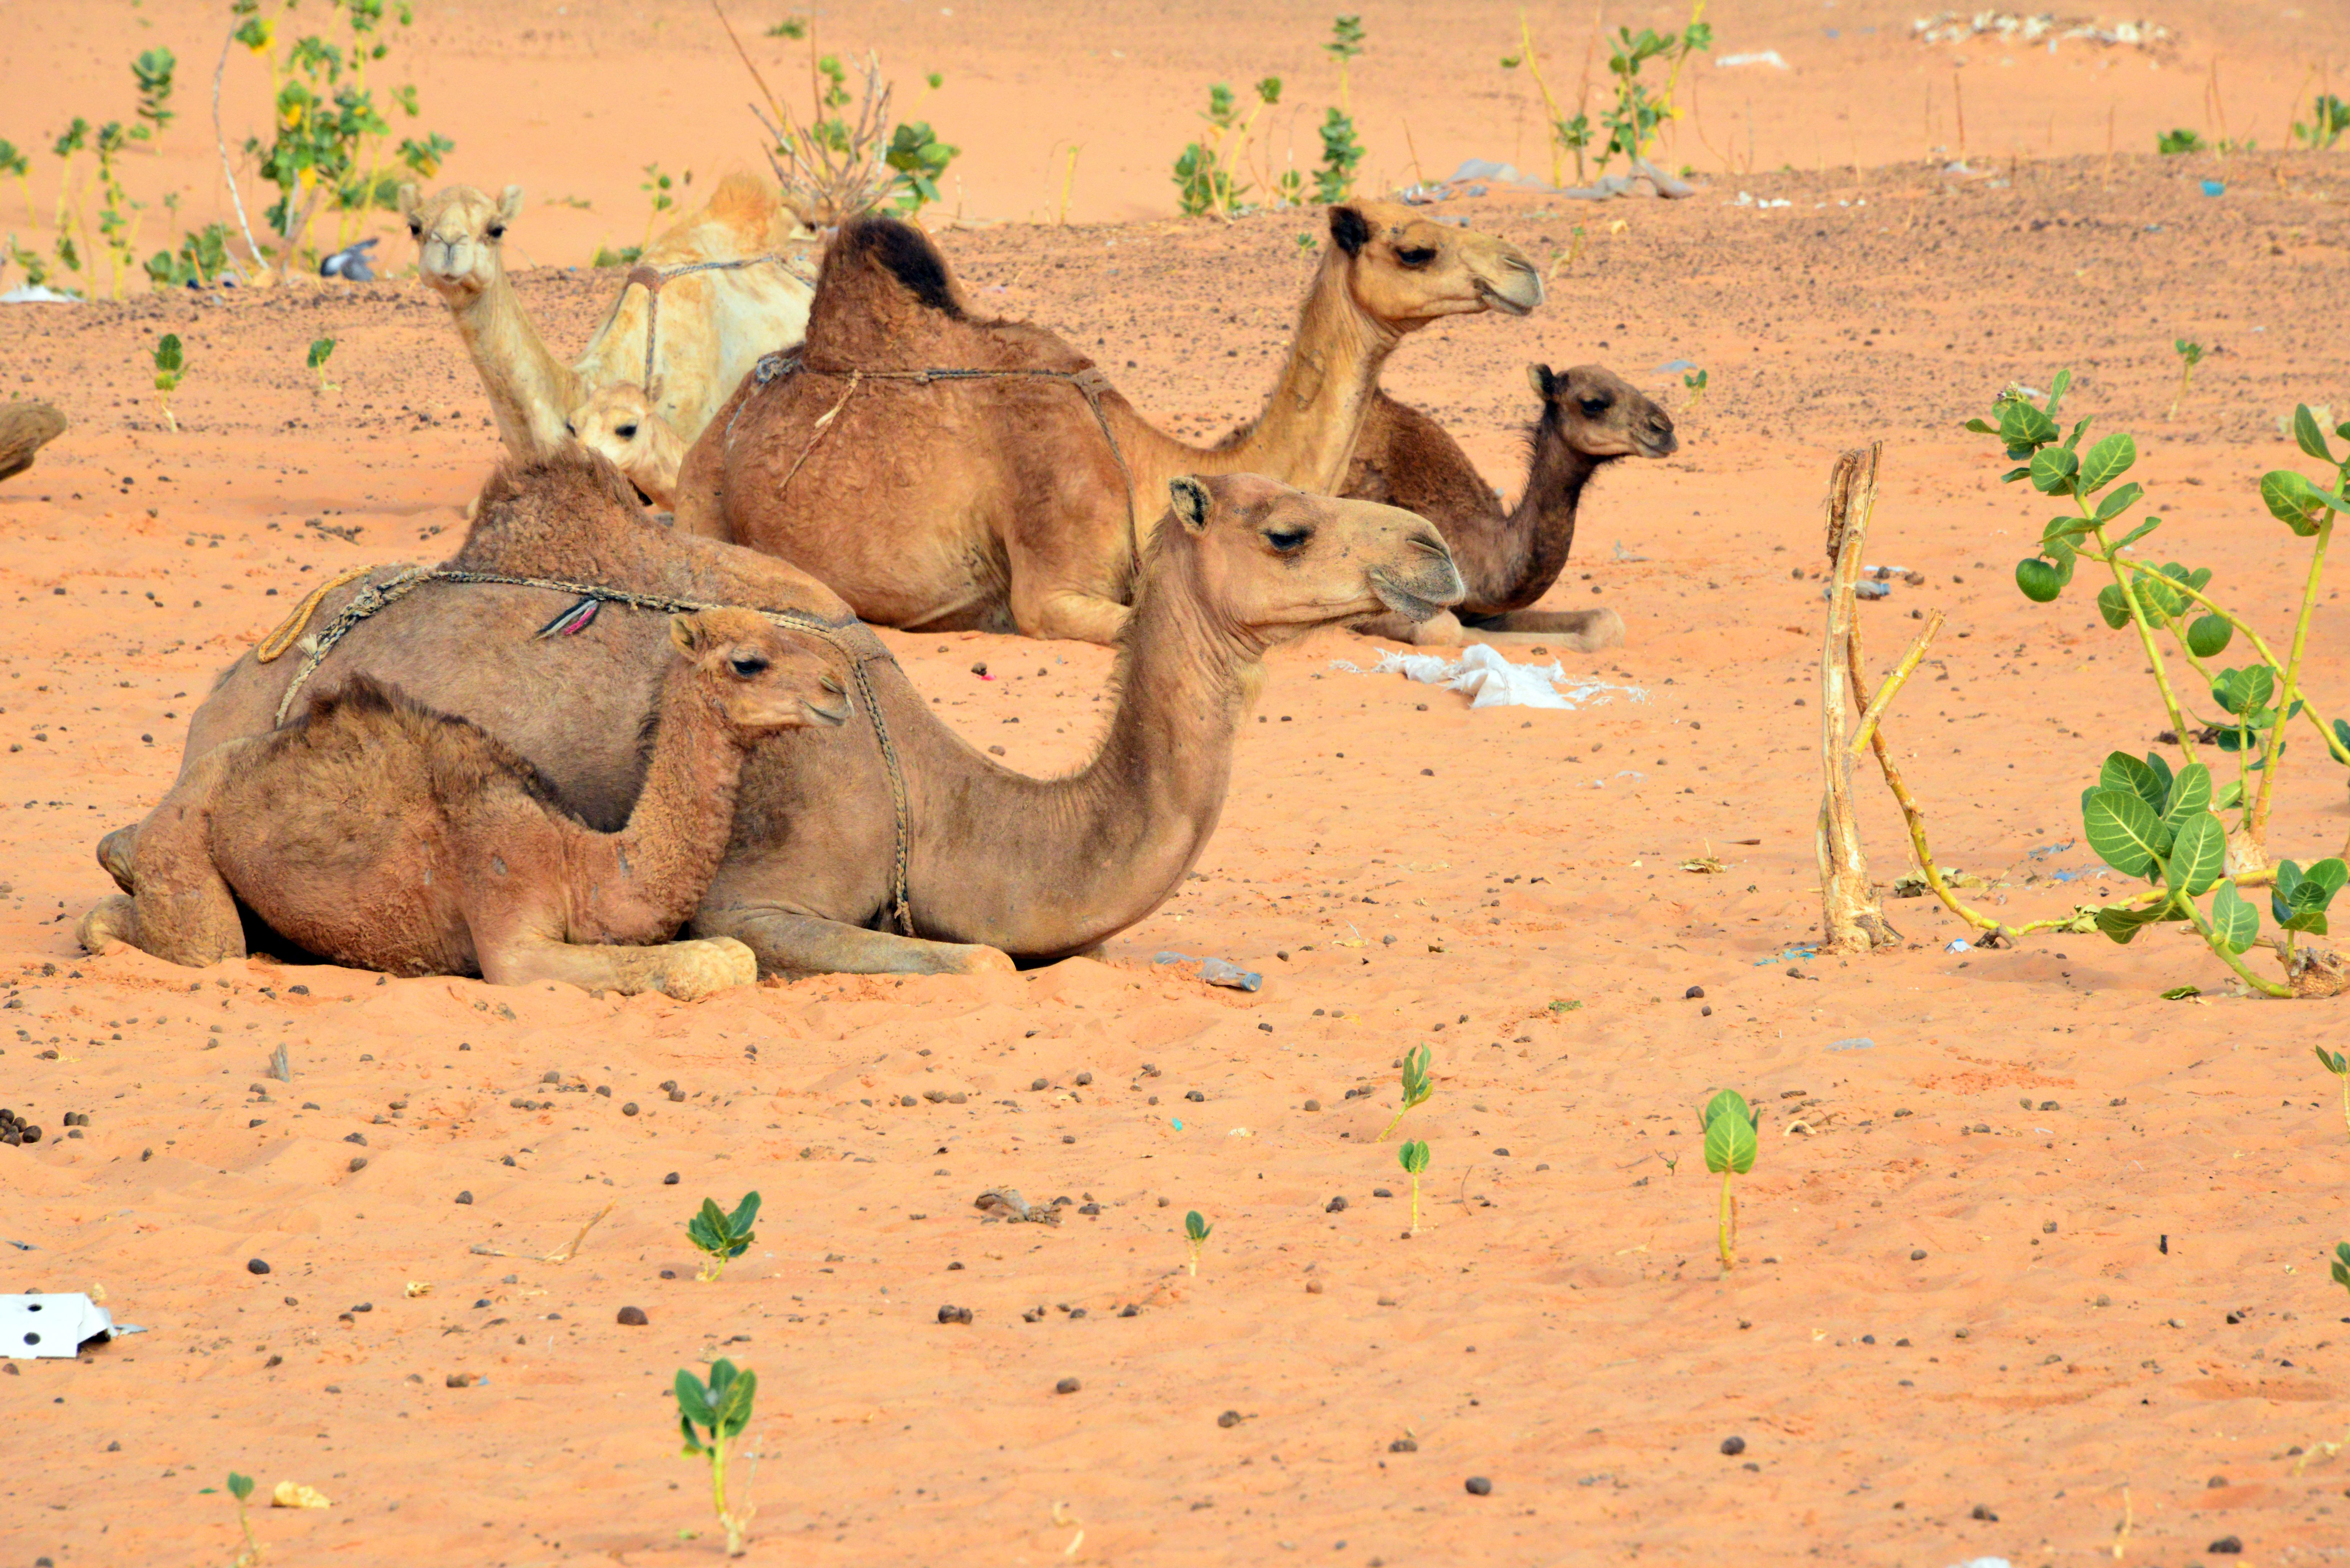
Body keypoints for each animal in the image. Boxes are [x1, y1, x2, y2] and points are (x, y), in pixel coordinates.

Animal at [79, 607, 849, 998]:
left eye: (797, 637)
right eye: (748, 662)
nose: (838, 688)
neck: (581, 862)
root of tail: (179, 789)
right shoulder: (508, 924)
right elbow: (717, 959)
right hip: (186, 838)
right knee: (188, 942)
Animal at [669, 201, 1539, 645]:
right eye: (1417, 250)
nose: (1525, 272)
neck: (1144, 465)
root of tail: (716, 427)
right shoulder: (1054, 587)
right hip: (704, 502)